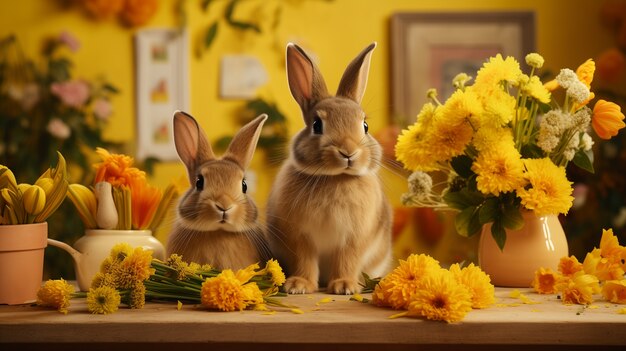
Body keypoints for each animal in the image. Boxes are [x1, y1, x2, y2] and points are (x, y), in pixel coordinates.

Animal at [266, 42, 390, 296]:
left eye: (365, 125)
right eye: (317, 125)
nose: (348, 152)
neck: (336, 178)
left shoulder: (354, 238)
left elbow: (348, 259)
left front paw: (345, 286)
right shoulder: (299, 236)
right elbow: (304, 259)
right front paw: (299, 286)